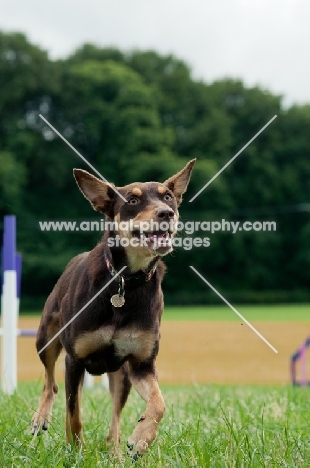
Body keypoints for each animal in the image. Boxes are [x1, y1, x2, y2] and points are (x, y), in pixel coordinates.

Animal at [32, 159, 196, 458]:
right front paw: (77, 452)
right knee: (52, 383)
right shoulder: (74, 360)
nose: (166, 213)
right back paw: (41, 418)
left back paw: (116, 452)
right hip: (45, 338)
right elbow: (74, 413)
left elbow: (158, 403)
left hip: (121, 376)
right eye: (132, 200)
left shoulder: (141, 364)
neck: (126, 280)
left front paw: (141, 439)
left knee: (114, 421)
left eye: (167, 196)